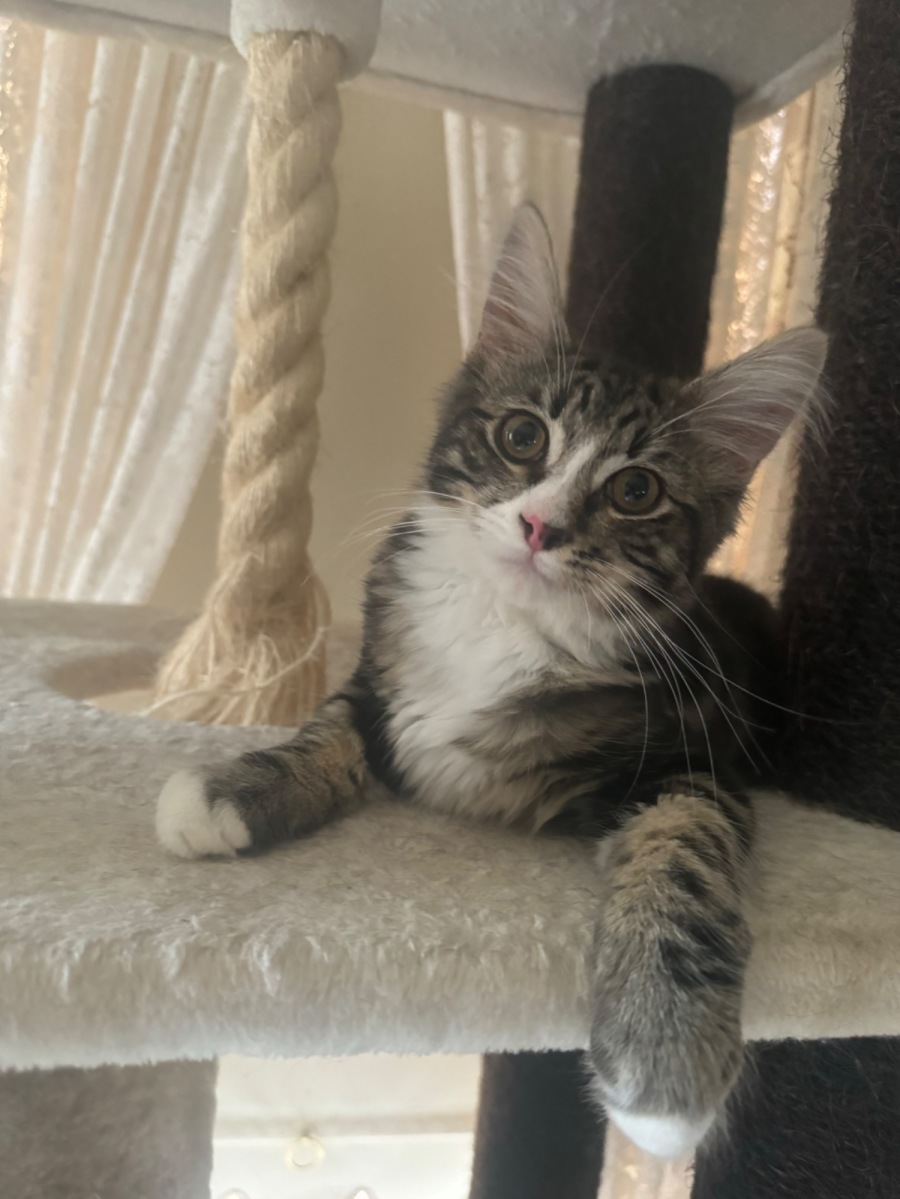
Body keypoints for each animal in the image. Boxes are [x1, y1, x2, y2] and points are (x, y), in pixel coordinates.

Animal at [156, 205, 826, 1159]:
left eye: (635, 489)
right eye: (522, 437)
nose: (541, 526)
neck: (504, 624)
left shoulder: (693, 765)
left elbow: (681, 864)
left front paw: (663, 1057)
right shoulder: (379, 687)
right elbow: (323, 732)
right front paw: (231, 789)